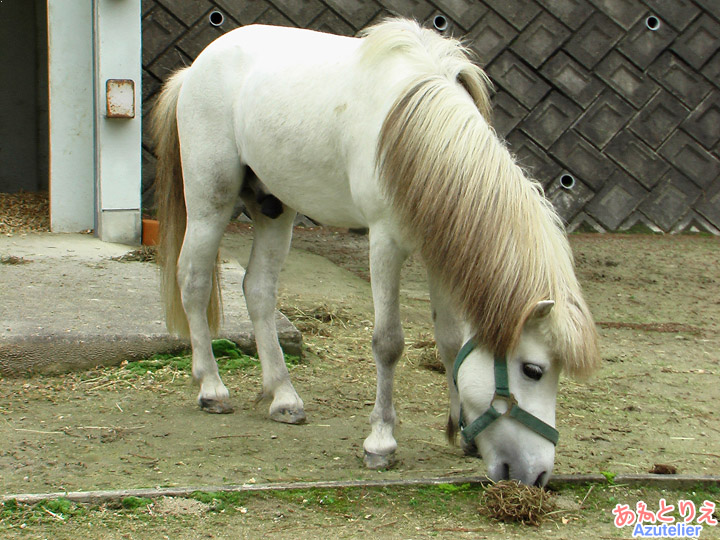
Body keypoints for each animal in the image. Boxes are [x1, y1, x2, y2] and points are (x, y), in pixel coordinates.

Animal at [153, 20, 600, 486]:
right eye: (533, 370)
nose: (538, 476)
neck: (415, 133)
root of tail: (195, 68)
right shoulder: (384, 243)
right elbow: (388, 343)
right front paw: (381, 441)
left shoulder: (438, 248)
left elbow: (449, 342)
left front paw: (460, 432)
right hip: (210, 200)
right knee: (194, 281)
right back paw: (211, 388)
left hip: (273, 206)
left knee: (258, 290)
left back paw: (283, 397)